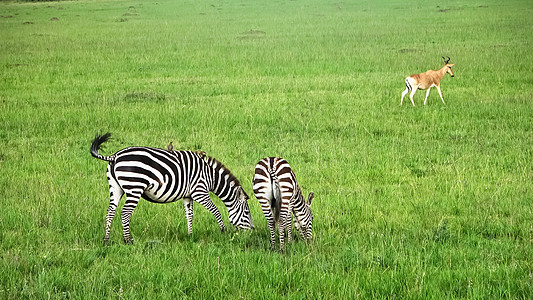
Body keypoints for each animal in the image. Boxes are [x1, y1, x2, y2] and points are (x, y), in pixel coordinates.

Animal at [90, 134, 255, 244]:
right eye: (247, 212)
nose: (253, 230)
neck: (210, 176)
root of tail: (115, 156)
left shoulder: (188, 195)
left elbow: (189, 215)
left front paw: (190, 235)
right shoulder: (199, 192)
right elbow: (216, 210)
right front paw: (223, 231)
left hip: (116, 188)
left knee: (110, 211)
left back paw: (106, 239)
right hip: (134, 187)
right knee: (125, 213)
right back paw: (128, 240)